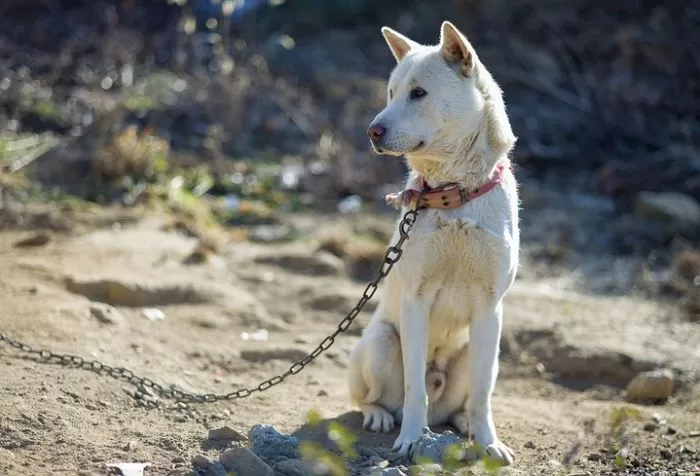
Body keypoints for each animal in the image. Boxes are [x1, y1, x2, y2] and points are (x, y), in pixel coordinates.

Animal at [348, 20, 516, 462]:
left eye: (419, 93)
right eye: (391, 93)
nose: (372, 131)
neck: (453, 193)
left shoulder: (490, 308)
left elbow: (483, 395)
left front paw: (489, 443)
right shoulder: (415, 301)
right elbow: (414, 391)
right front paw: (410, 439)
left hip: (479, 349)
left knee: (465, 401)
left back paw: (463, 424)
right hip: (380, 341)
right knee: (372, 398)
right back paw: (380, 416)